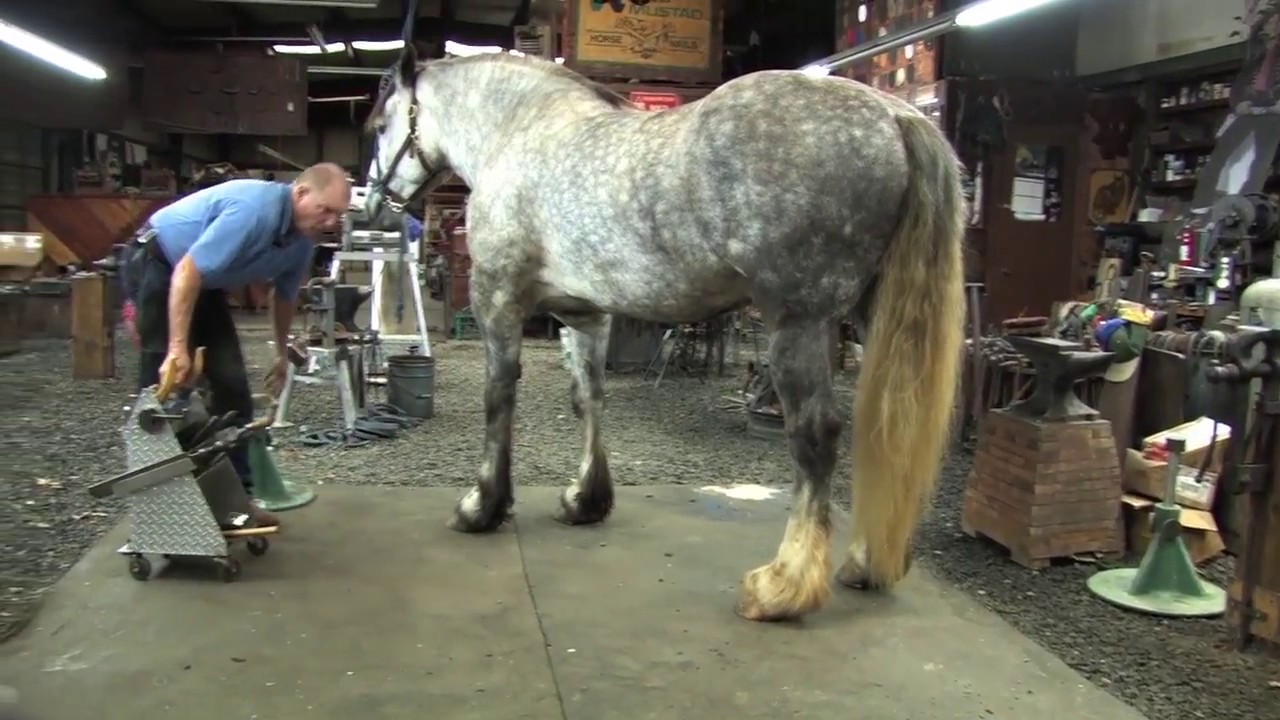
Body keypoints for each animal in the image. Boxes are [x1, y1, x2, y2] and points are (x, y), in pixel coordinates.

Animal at [362, 49, 967, 622]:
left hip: (800, 323)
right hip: (870, 318)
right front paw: (586, 500)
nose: (373, 207)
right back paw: (864, 563)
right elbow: (589, 399)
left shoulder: (498, 299)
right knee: (887, 425)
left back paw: (781, 587)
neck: (521, 129)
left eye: (380, 124)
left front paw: (482, 505)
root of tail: (892, 115)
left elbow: (499, 397)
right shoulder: (586, 316)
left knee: (816, 436)